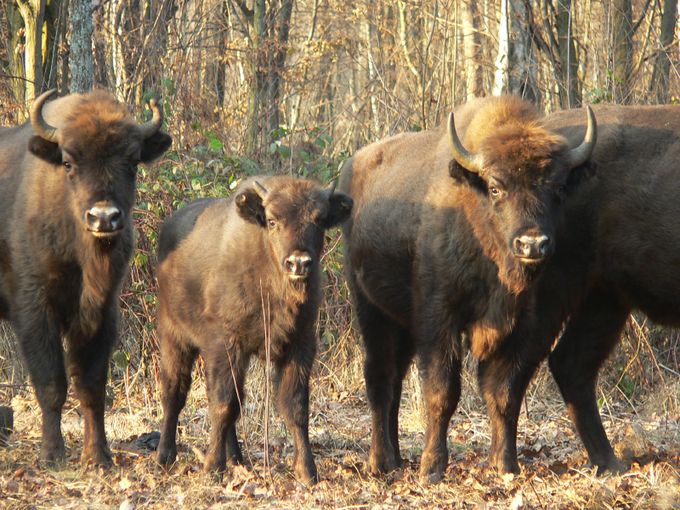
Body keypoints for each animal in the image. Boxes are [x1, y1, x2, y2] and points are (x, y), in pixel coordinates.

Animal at [0, 88, 173, 466]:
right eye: (68, 162)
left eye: (133, 161)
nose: (104, 217)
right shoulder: (35, 310)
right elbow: (52, 383)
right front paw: (52, 455)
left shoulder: (101, 312)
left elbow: (92, 386)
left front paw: (99, 457)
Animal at [155, 174, 354, 482]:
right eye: (272, 220)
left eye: (319, 219)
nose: (299, 263)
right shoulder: (227, 344)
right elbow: (224, 404)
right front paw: (212, 467)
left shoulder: (300, 344)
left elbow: (295, 407)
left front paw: (307, 471)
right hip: (174, 337)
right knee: (174, 392)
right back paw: (165, 456)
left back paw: (236, 458)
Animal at [340, 95, 596, 482]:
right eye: (495, 187)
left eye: (558, 188)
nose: (532, 244)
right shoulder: (439, 317)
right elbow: (442, 392)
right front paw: (432, 468)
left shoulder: (522, 325)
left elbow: (504, 394)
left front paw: (505, 465)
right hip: (370, 309)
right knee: (380, 378)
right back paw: (381, 462)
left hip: (401, 323)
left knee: (395, 380)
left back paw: (397, 458)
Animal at [478, 101, 680, 476]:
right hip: (553, 293)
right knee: (507, 373)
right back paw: (506, 465)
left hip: (605, 298)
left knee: (570, 364)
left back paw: (609, 462)